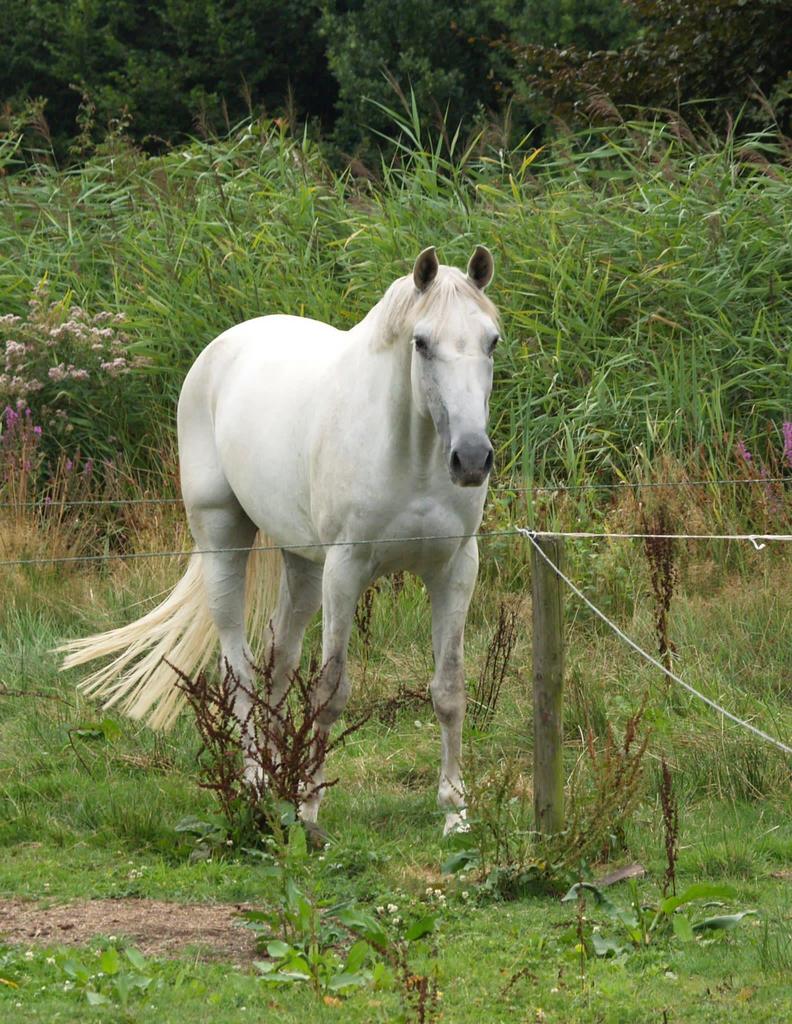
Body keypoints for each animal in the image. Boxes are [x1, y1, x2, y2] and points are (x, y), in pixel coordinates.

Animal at [59, 245, 500, 836]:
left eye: (491, 341)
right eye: (422, 342)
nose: (471, 458)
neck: (409, 451)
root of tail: (224, 347)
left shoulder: (454, 569)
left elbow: (449, 690)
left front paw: (455, 813)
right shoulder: (346, 571)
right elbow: (331, 690)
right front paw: (311, 812)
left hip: (302, 565)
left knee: (278, 662)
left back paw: (275, 778)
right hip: (224, 541)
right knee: (239, 668)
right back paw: (254, 786)